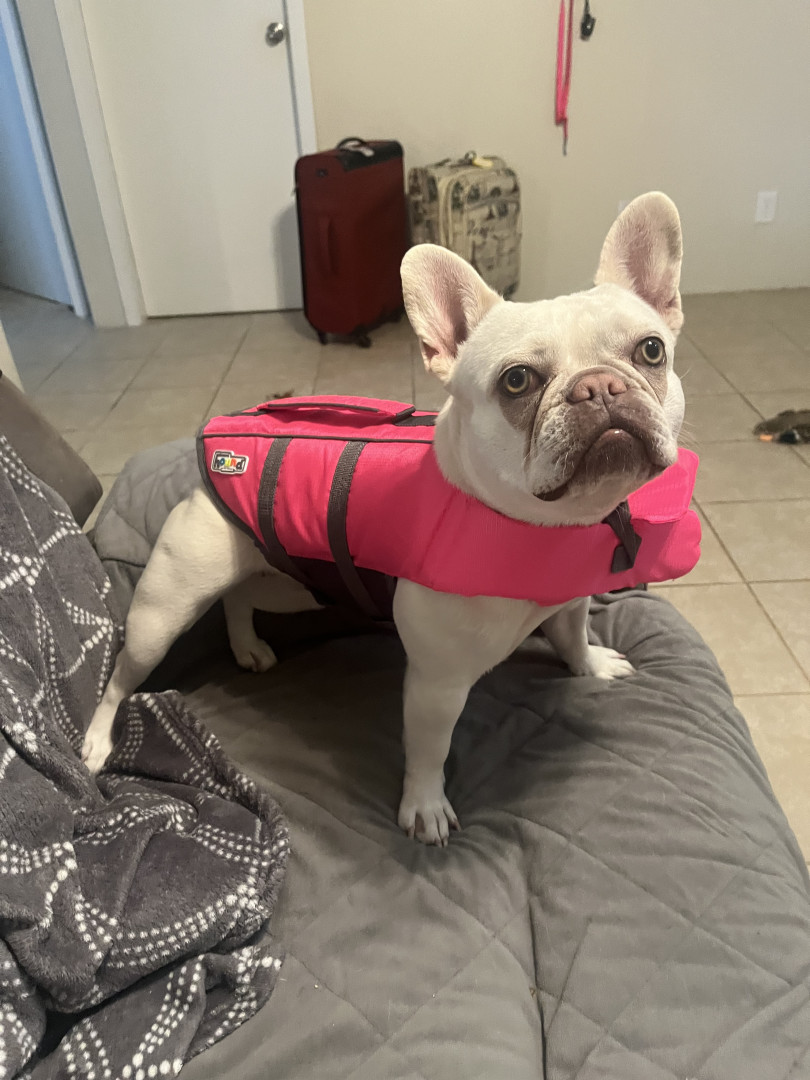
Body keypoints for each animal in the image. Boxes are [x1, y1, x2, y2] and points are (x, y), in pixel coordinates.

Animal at [82, 192, 686, 846]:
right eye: (517, 380)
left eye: (651, 350)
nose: (598, 386)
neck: (540, 525)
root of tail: (216, 453)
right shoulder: (437, 685)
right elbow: (429, 749)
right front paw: (424, 807)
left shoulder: (571, 598)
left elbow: (573, 634)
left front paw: (590, 664)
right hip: (164, 611)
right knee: (124, 672)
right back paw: (95, 740)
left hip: (291, 584)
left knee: (238, 597)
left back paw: (246, 646)